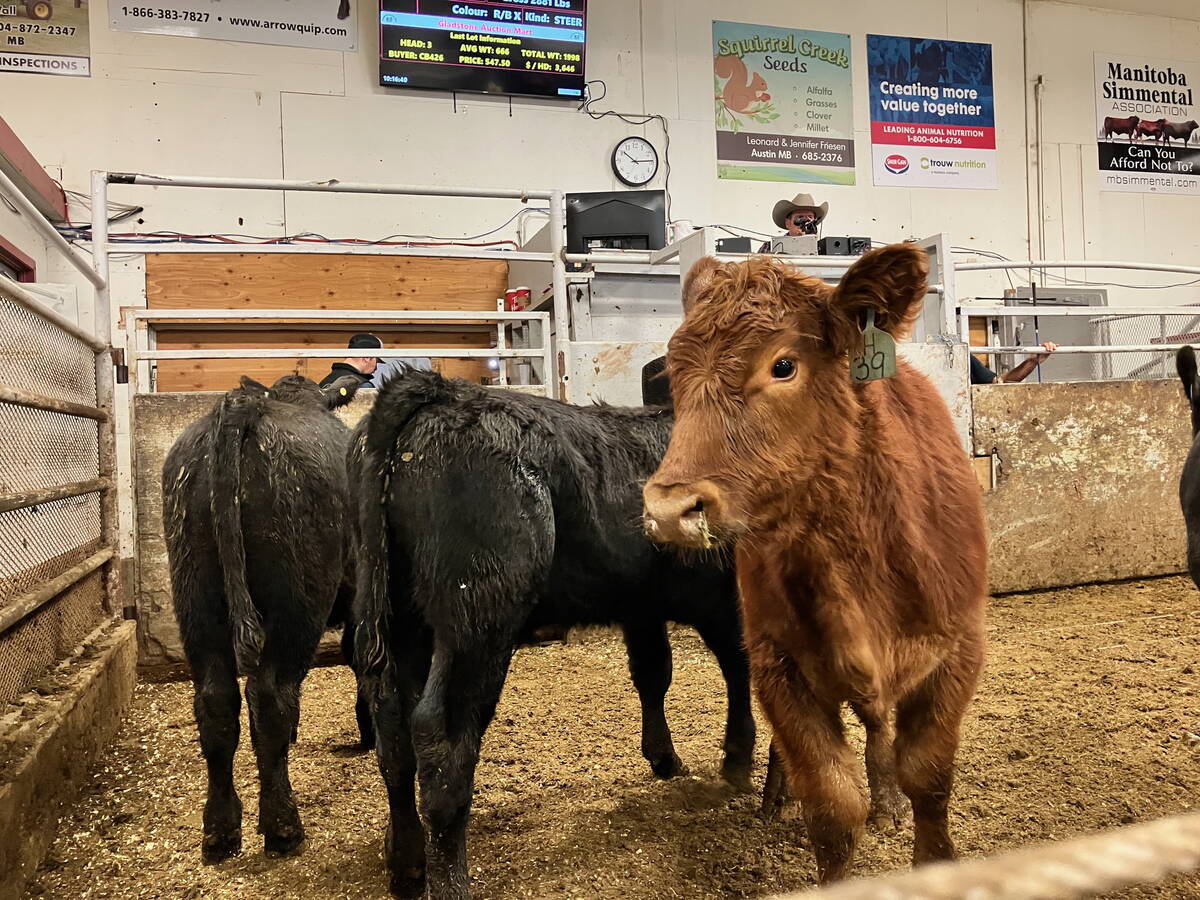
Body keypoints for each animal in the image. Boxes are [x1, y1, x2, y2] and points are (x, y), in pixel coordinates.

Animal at [162, 374, 372, 864]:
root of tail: (243, 407)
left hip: (195, 594)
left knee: (216, 701)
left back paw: (220, 830)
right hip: (297, 599)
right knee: (272, 693)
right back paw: (282, 825)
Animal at [351, 370, 758, 898]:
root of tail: (442, 392)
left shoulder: (640, 604)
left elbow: (653, 673)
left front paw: (665, 759)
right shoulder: (724, 601)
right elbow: (738, 669)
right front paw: (737, 760)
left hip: (401, 619)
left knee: (393, 731)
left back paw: (405, 864)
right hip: (477, 618)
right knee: (441, 736)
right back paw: (450, 881)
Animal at [642, 245, 988, 884]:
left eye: (783, 366)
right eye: (673, 374)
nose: (669, 510)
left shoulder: (957, 651)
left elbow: (927, 779)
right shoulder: (778, 665)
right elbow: (831, 802)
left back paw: (887, 802)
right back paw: (777, 795)